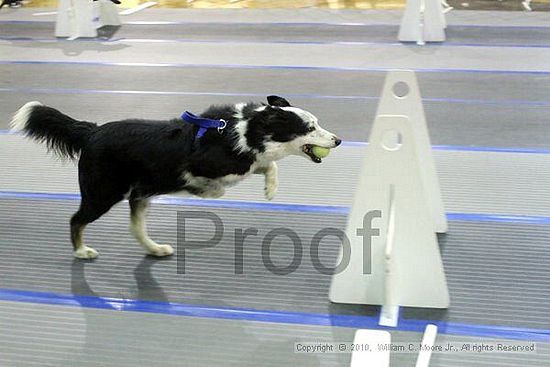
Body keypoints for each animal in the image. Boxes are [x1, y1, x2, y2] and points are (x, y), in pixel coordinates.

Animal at [10, 96, 342, 260]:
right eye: (309, 128)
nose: (338, 140)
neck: (246, 131)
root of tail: (92, 131)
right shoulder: (204, 166)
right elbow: (225, 182)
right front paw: (205, 190)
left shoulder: (247, 161)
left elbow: (268, 165)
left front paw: (270, 188)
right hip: (104, 193)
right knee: (76, 220)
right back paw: (81, 251)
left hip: (136, 193)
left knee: (135, 226)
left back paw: (154, 249)